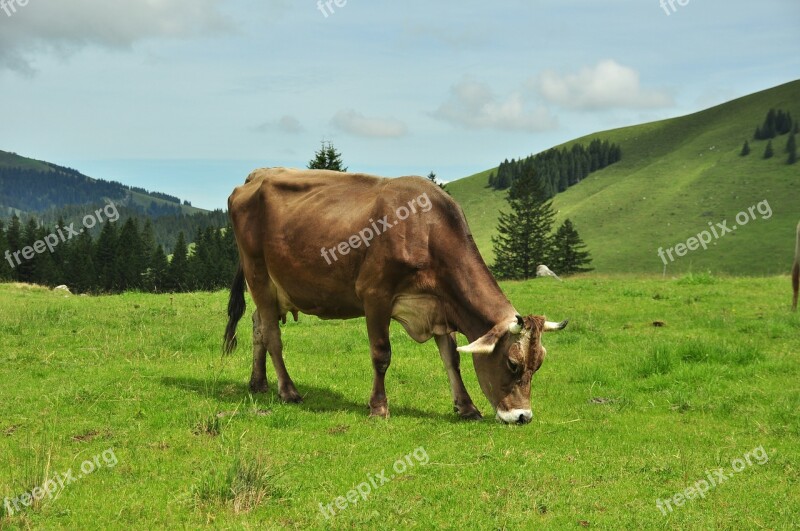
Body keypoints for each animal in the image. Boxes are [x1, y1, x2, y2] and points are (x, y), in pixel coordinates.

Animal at [222, 168, 564, 426]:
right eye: (512, 364)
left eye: (539, 364)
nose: (523, 416)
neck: (426, 231)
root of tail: (257, 175)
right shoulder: (375, 296)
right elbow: (381, 354)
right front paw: (378, 407)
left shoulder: (439, 305)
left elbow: (452, 359)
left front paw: (466, 407)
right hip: (258, 273)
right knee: (272, 334)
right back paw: (288, 390)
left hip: (272, 287)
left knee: (258, 326)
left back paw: (258, 382)